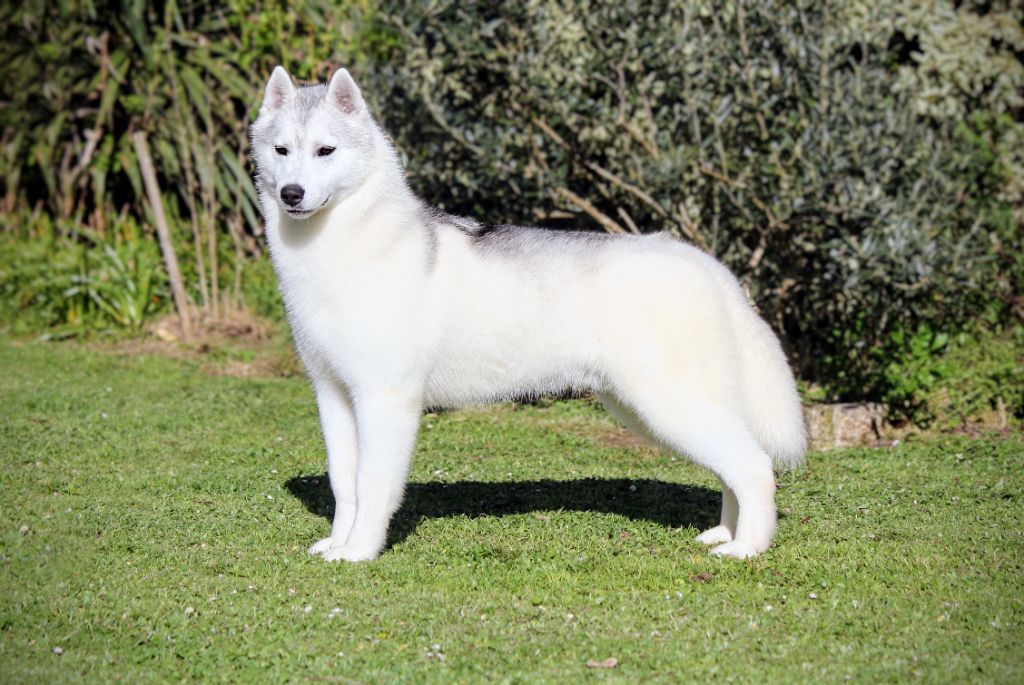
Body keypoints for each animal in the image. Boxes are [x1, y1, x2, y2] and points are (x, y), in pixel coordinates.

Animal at [250, 67, 807, 562]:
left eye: (326, 151)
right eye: (282, 151)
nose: (292, 194)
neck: (341, 249)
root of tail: (704, 261)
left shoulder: (385, 399)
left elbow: (373, 486)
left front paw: (361, 551)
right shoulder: (334, 396)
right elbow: (345, 485)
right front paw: (337, 543)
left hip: (669, 405)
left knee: (755, 466)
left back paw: (747, 548)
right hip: (649, 408)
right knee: (733, 468)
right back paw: (725, 533)